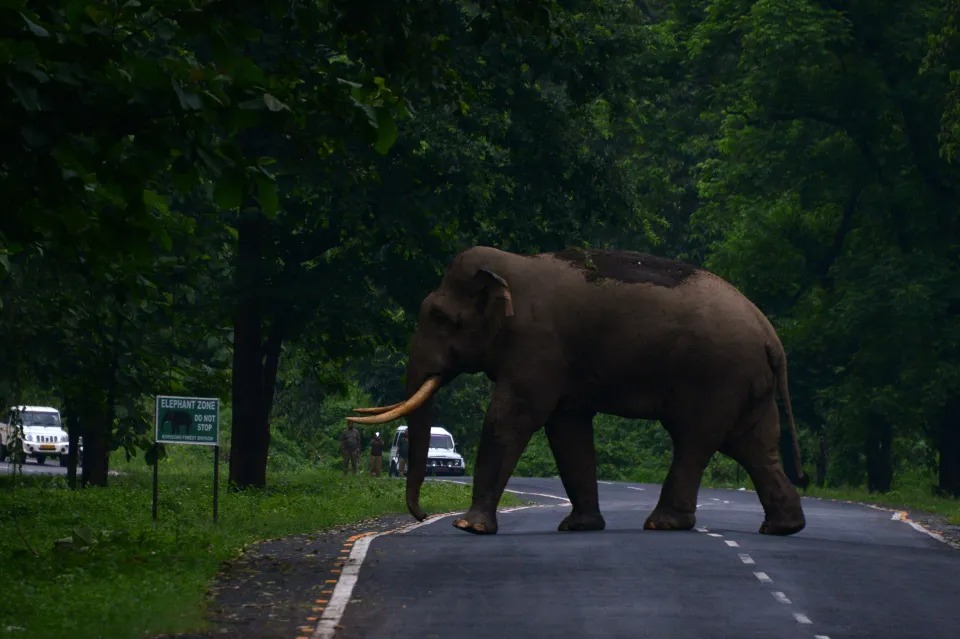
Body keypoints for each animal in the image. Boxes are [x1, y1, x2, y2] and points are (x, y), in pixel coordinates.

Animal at [348, 248, 808, 536]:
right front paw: (578, 527)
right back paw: (782, 527)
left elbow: (513, 417)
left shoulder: (537, 345)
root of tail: (771, 337)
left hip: (716, 377)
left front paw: (468, 526)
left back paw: (662, 523)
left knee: (695, 440)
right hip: (748, 384)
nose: (421, 513)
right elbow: (566, 429)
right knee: (753, 445)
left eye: (443, 319)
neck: (513, 266)